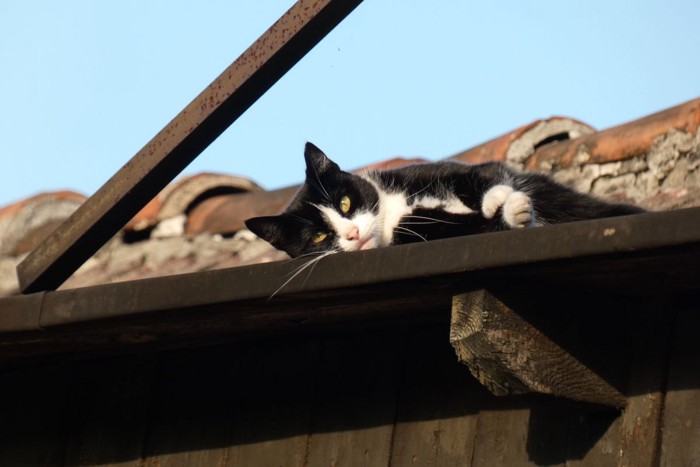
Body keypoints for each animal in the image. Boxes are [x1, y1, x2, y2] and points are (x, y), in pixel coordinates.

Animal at [246, 143, 644, 260]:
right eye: (318, 237)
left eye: (344, 203)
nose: (353, 234)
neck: (394, 213)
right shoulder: (418, 231)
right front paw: (512, 213)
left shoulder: (425, 173)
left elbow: (476, 175)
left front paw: (499, 197)